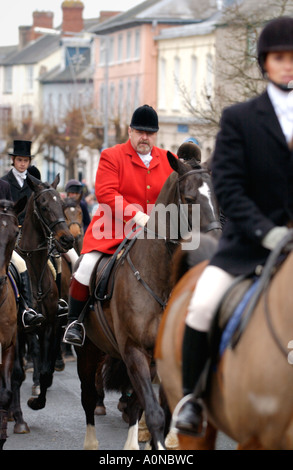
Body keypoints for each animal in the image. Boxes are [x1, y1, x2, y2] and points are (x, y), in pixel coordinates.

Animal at [75, 152, 221, 450]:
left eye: (216, 197)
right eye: (190, 198)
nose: (217, 243)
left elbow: (162, 410)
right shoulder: (134, 351)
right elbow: (154, 413)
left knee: (133, 404)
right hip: (89, 351)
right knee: (88, 396)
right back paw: (91, 442)